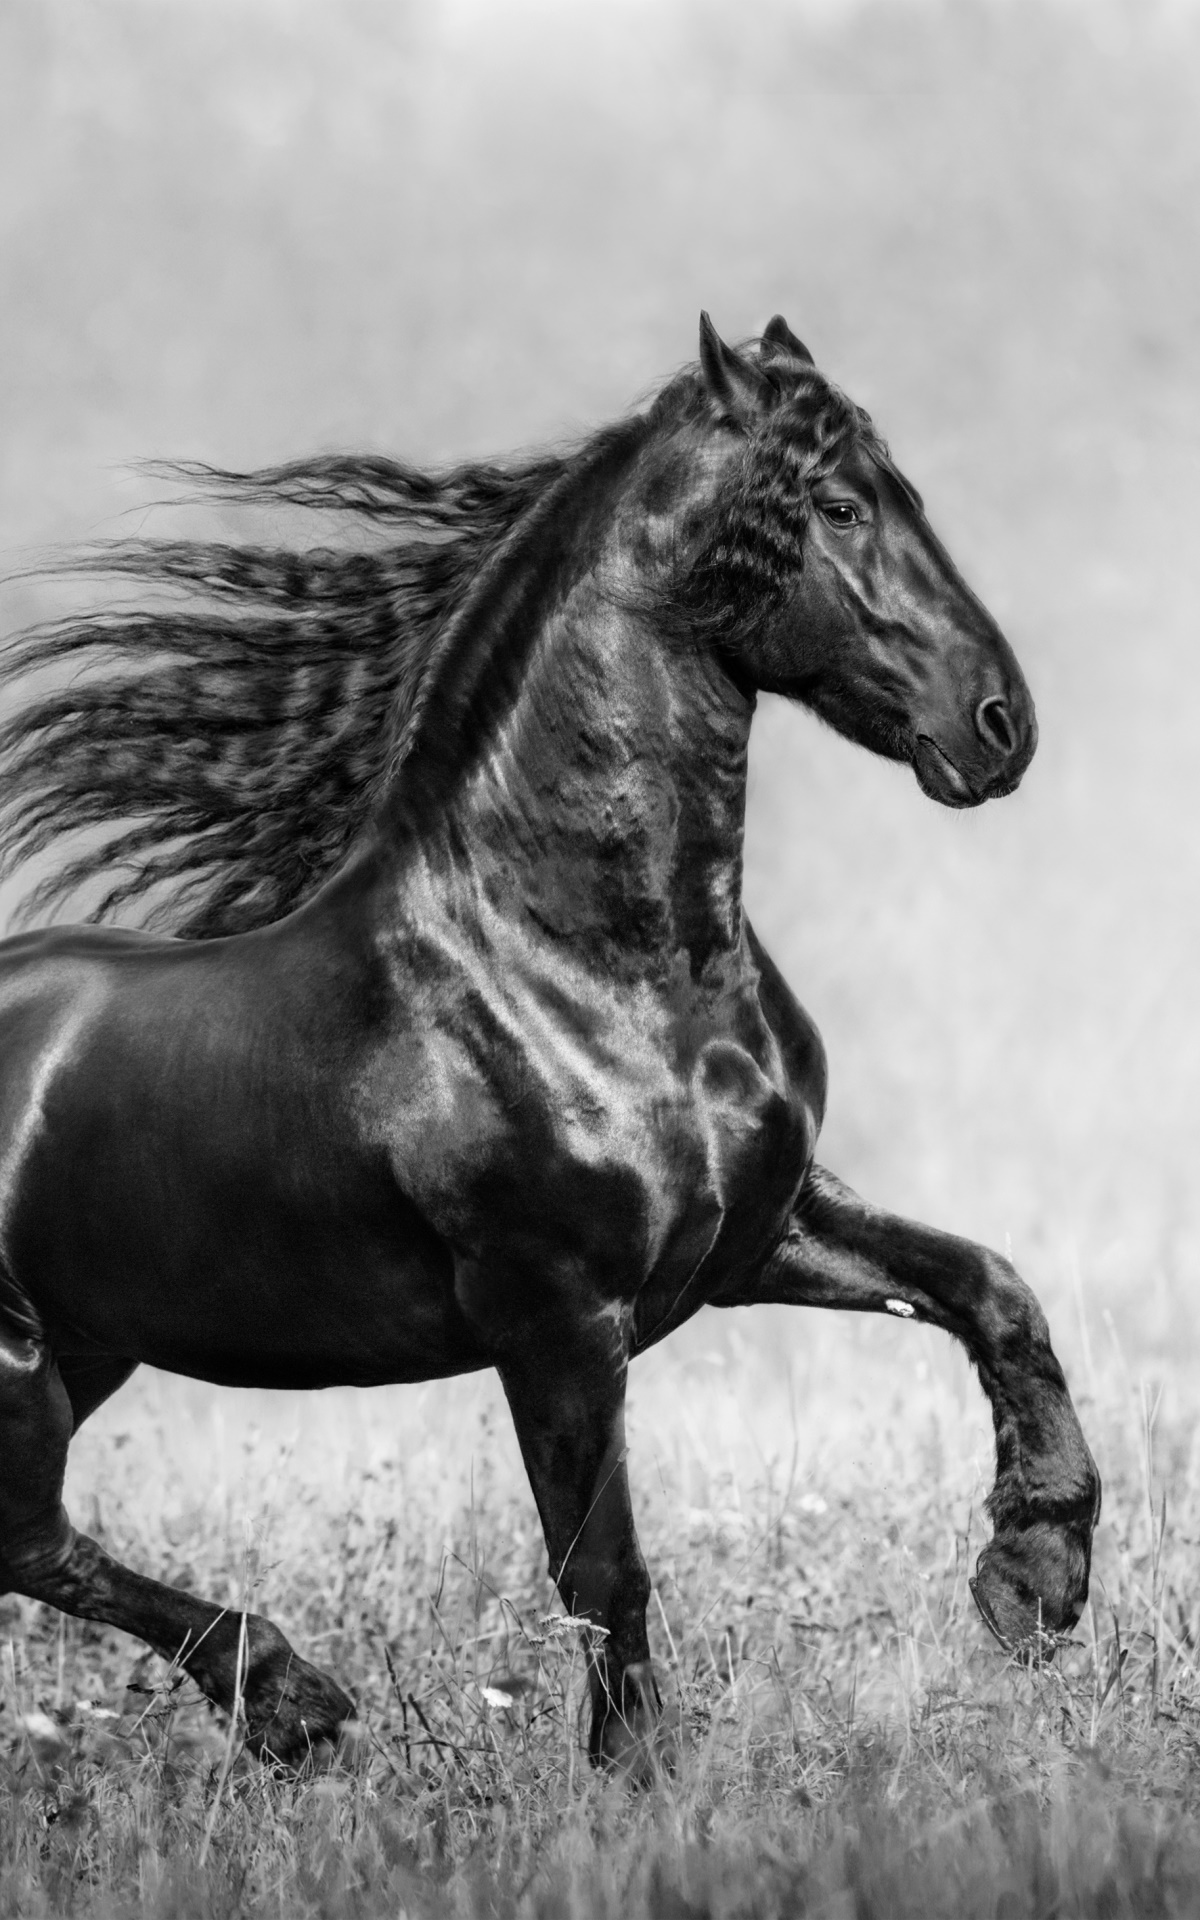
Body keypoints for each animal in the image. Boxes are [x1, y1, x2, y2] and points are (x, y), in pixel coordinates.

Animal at [0, 314, 1099, 1775]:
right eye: (842, 506)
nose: (1001, 725)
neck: (577, 966)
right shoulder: (557, 1316)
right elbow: (601, 1566)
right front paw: (636, 1779)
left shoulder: (757, 1235)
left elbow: (992, 1289)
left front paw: (1036, 1579)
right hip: (24, 1363)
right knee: (26, 1536)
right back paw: (292, 1698)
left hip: (86, 1343)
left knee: (28, 1538)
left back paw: (287, 1701)